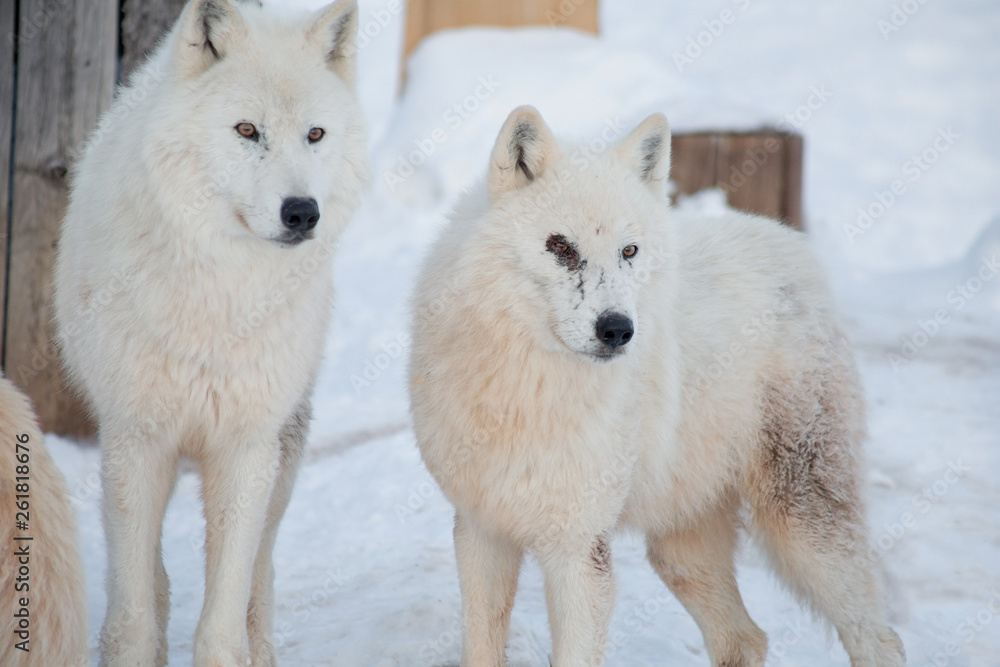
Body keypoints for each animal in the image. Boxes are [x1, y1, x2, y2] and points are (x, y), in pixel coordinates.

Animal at [52, 0, 368, 665]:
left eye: (315, 135)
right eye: (247, 131)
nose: (302, 212)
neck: (222, 298)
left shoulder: (246, 448)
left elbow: (224, 614)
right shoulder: (137, 439)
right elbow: (134, 614)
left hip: (285, 449)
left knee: (260, 572)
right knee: (151, 575)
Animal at [409, 106, 906, 667]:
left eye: (629, 250)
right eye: (560, 247)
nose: (617, 329)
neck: (526, 388)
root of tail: (791, 244)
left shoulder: (579, 549)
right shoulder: (480, 531)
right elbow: (480, 646)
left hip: (802, 524)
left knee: (879, 639)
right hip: (681, 550)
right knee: (745, 638)